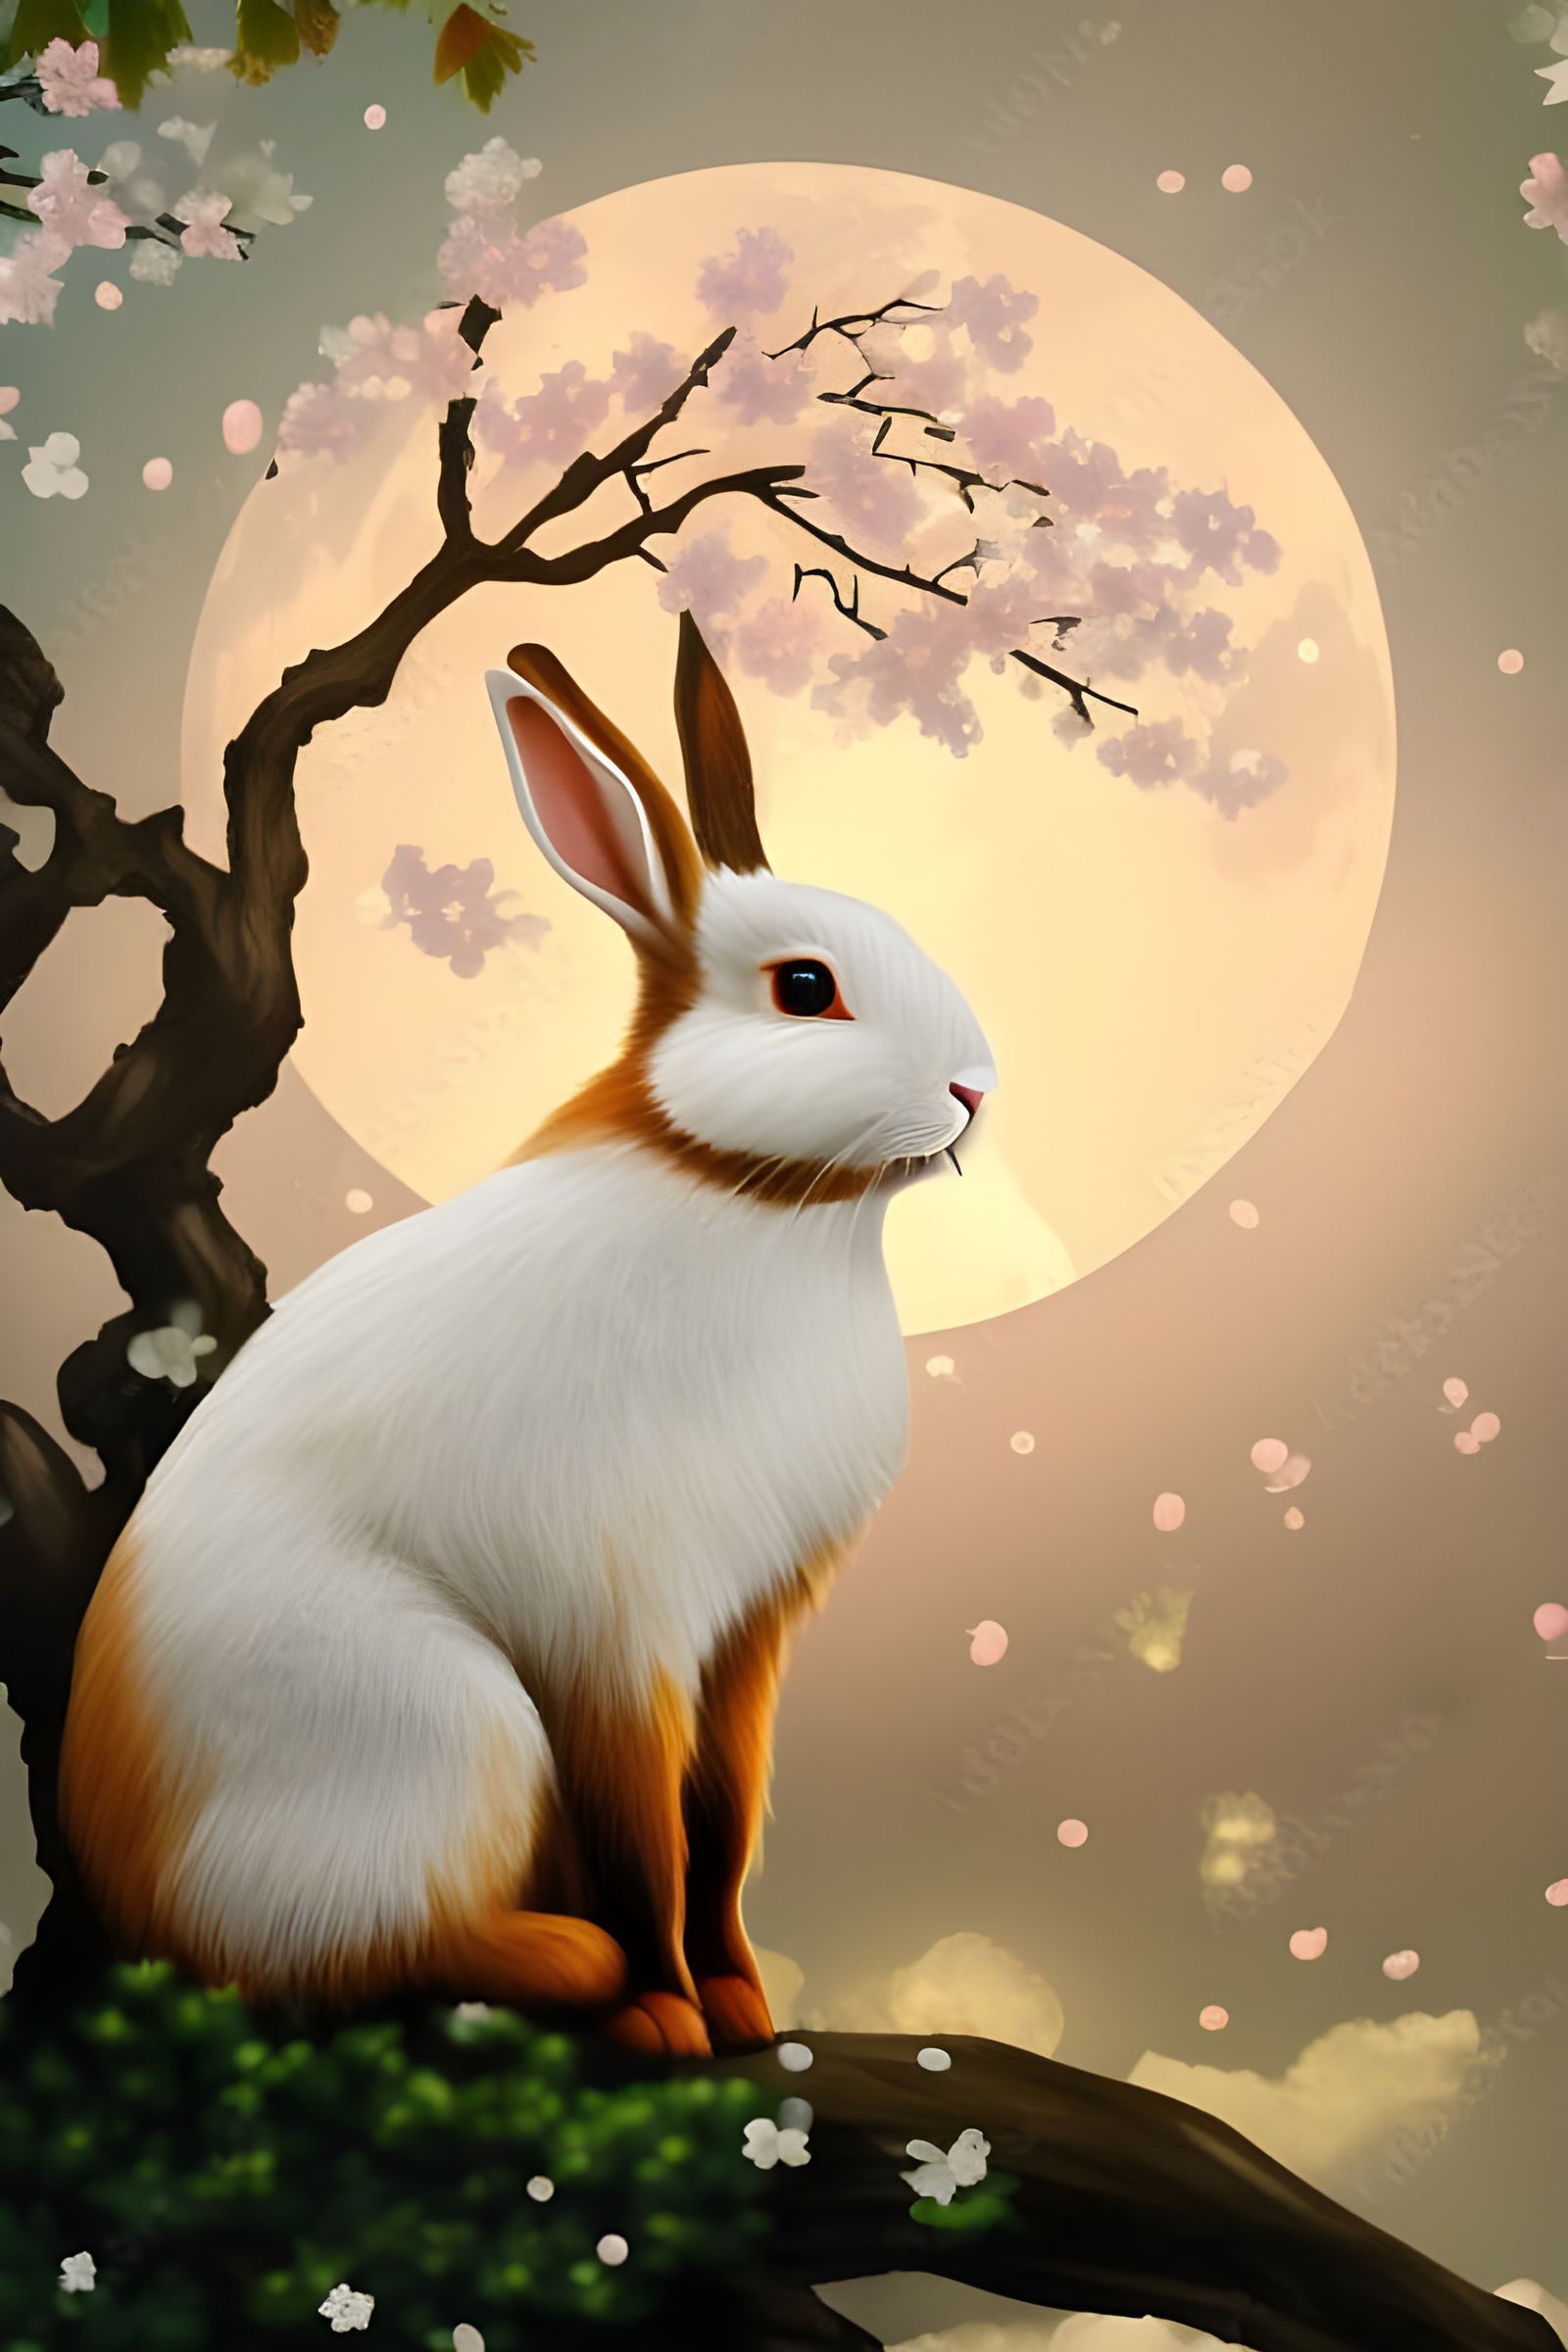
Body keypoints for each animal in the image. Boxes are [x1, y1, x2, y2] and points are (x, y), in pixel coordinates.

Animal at [58, 614, 997, 2057]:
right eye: (805, 988)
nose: (976, 1089)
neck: (745, 1197)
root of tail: (152, 1906)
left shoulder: (746, 1633)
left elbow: (723, 1821)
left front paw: (742, 2003)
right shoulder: (611, 1625)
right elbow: (645, 1838)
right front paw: (673, 2021)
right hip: (451, 1728)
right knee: (371, 1956)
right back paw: (578, 1969)